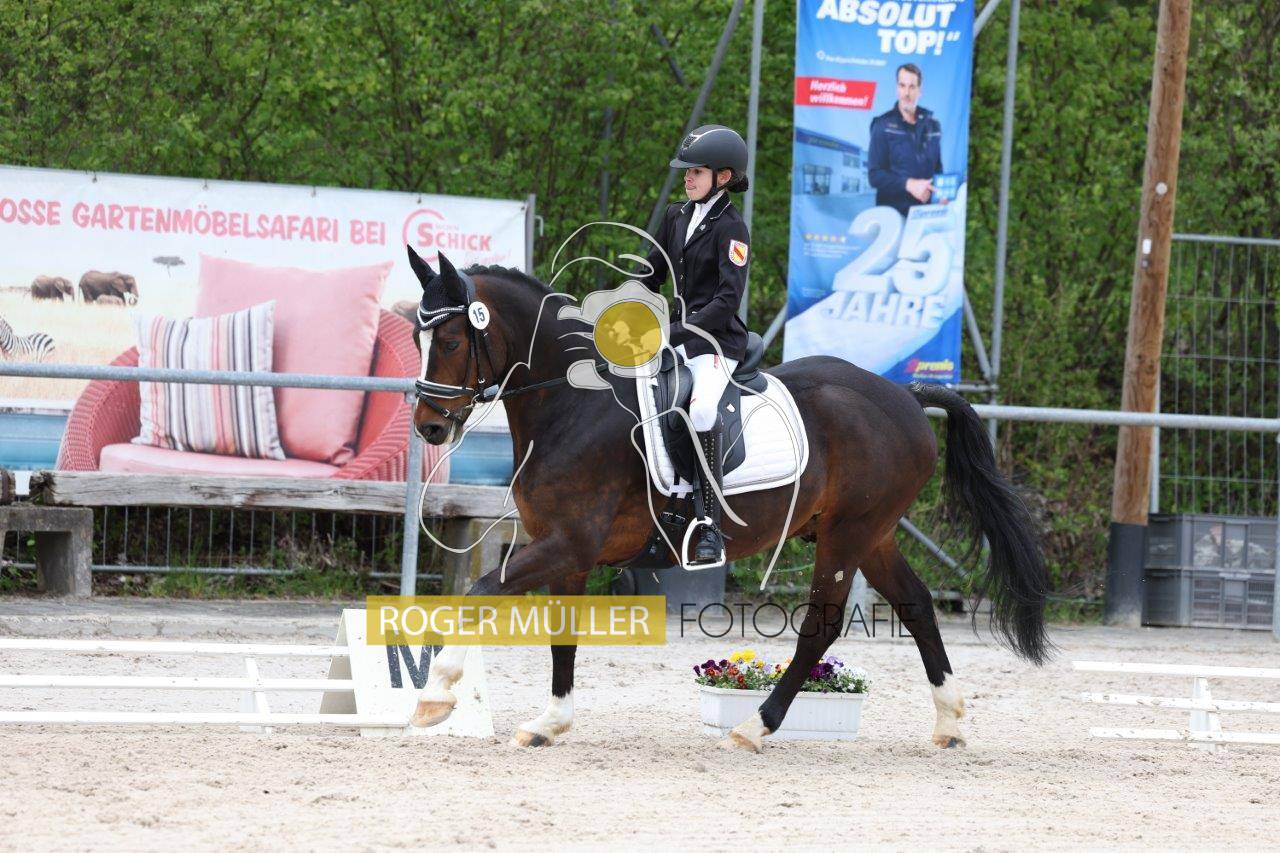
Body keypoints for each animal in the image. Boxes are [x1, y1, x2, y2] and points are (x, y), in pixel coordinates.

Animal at [405, 246, 1049, 752]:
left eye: (454, 338)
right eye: (417, 336)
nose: (430, 427)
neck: (570, 404)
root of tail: (906, 397)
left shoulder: (567, 545)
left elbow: (476, 595)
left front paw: (435, 693)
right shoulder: (565, 553)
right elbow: (561, 635)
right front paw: (550, 722)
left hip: (848, 534)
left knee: (822, 626)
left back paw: (756, 726)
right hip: (873, 534)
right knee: (916, 605)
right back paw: (950, 723)